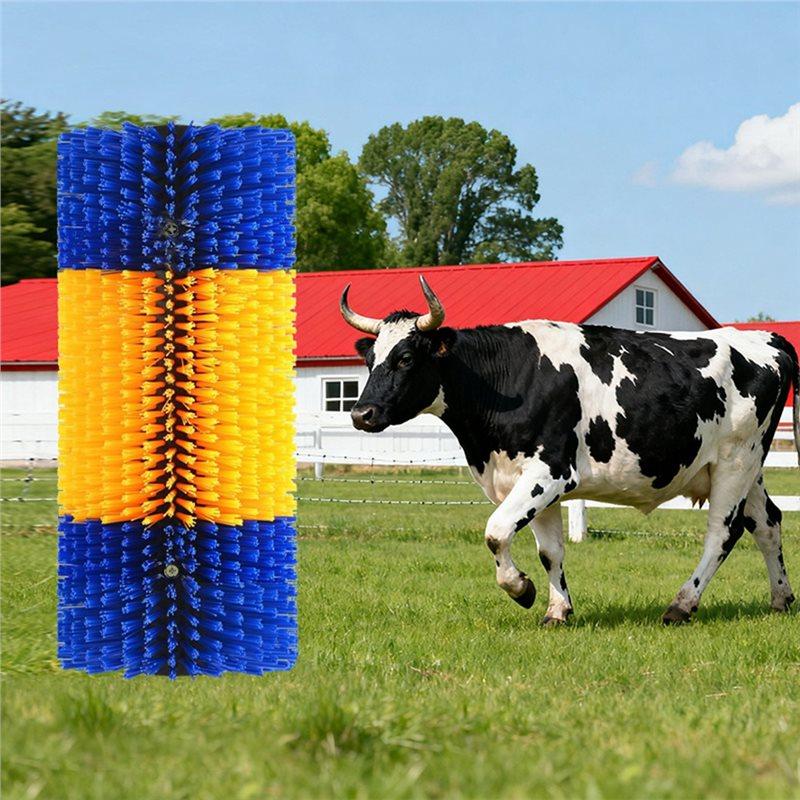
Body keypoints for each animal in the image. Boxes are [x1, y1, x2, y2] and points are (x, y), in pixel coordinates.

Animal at [340, 276, 799, 625]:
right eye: (371, 360)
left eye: (405, 359)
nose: (362, 413)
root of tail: (765, 337)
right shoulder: (524, 478)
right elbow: (549, 551)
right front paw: (557, 609)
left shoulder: (551, 471)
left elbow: (496, 530)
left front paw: (520, 589)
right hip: (747, 469)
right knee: (768, 523)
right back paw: (780, 599)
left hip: (735, 461)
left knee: (723, 532)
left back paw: (682, 605)